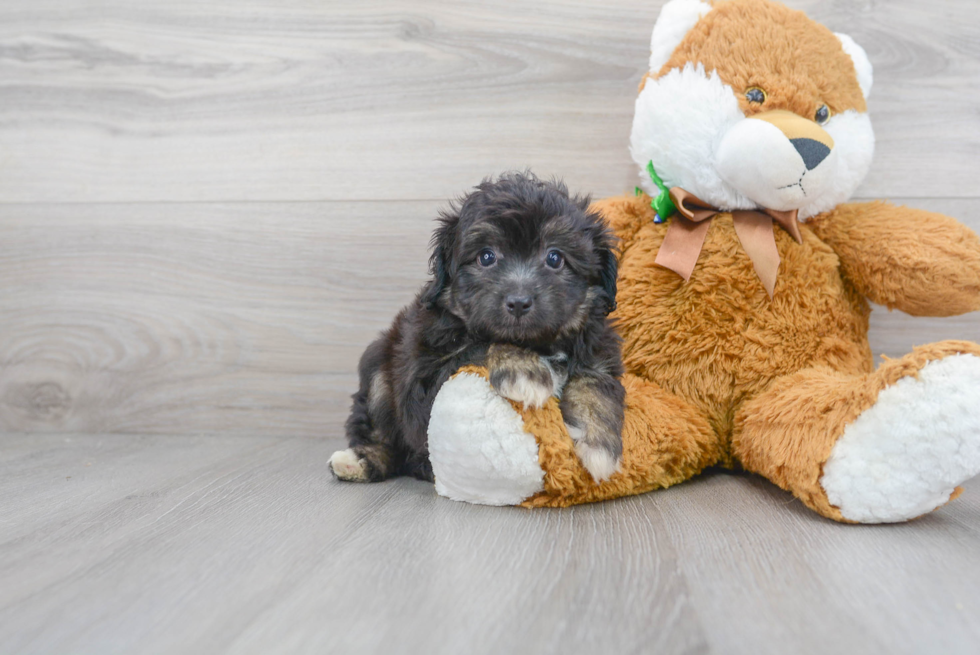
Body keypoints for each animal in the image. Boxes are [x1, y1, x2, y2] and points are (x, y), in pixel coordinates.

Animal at [326, 172, 624, 484]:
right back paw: (359, 460)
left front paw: (599, 443)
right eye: (486, 256)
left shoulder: (598, 351)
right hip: (378, 365)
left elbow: (596, 384)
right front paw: (524, 370)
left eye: (555, 258)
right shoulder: (422, 383)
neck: (538, 342)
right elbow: (481, 343)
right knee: (379, 430)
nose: (519, 302)